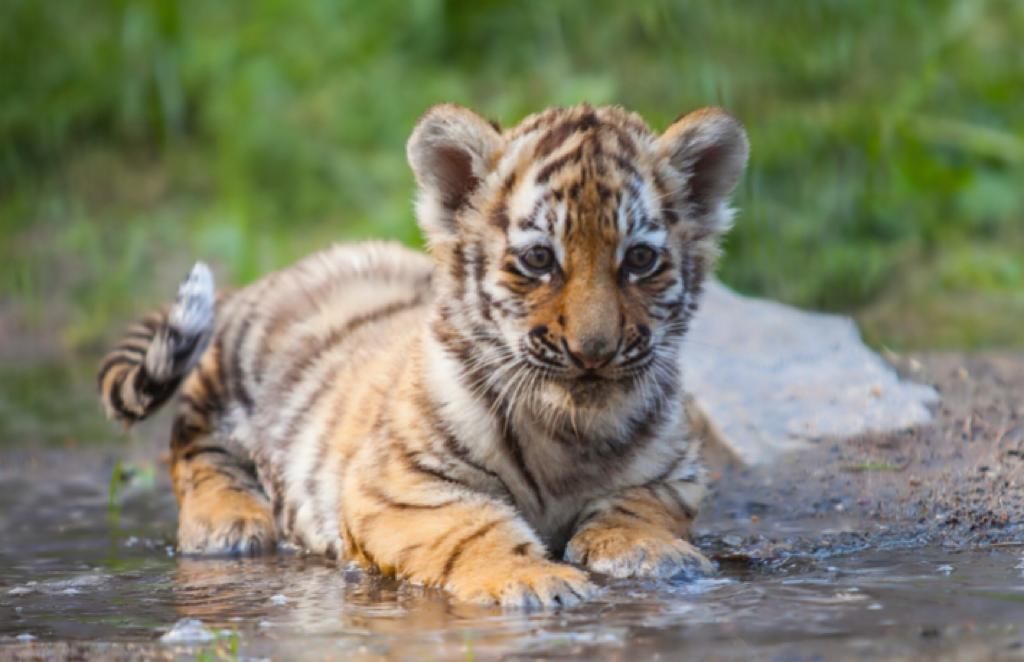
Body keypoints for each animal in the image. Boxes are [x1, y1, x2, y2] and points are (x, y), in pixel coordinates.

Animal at [97, 103, 749, 608]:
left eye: (639, 260)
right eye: (539, 259)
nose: (593, 352)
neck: (570, 428)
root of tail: (279, 273)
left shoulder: (675, 473)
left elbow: (638, 506)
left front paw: (655, 555)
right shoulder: (401, 486)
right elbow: (473, 529)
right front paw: (536, 580)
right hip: (227, 379)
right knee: (193, 447)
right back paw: (228, 523)